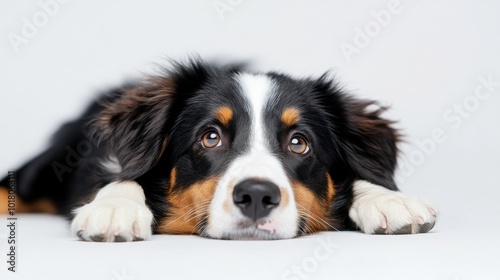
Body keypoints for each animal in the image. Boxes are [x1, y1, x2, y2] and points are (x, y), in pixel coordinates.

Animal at [0, 58, 438, 241]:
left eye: (299, 143)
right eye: (210, 137)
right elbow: (122, 179)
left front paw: (389, 200)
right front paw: (114, 209)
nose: (257, 196)